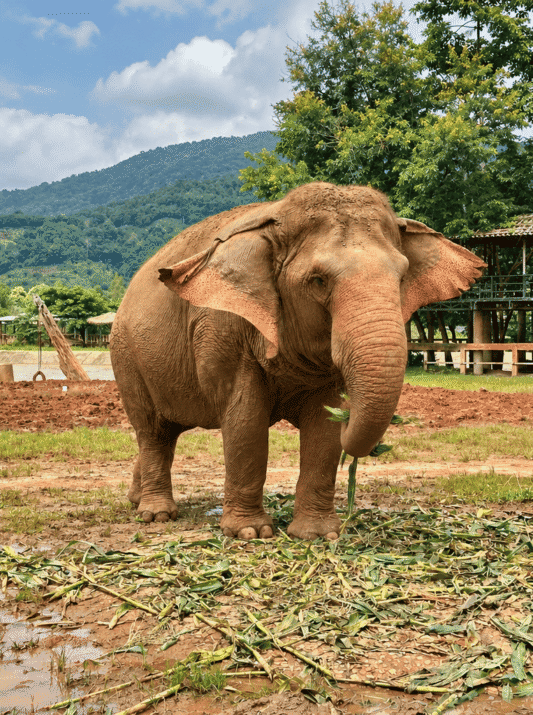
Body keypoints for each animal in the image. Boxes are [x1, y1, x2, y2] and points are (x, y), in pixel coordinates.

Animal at [110, 181, 486, 540]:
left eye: (403, 277)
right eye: (318, 281)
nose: (353, 420)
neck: (275, 219)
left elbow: (324, 429)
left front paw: (318, 535)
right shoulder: (223, 330)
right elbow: (245, 421)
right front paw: (250, 533)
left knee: (165, 434)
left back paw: (135, 498)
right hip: (126, 357)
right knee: (152, 430)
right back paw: (156, 514)